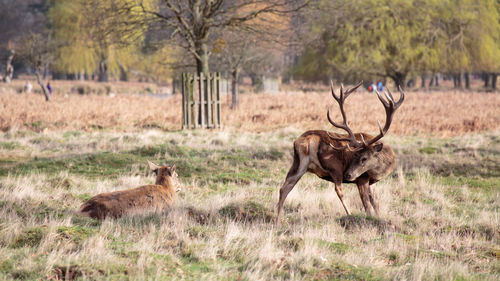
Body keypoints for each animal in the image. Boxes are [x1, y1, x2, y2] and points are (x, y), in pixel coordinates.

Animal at [276, 82, 404, 224]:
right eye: (355, 156)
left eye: (363, 158)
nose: (348, 175)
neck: (381, 170)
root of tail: (307, 141)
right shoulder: (362, 178)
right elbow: (367, 205)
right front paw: (370, 219)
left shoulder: (372, 182)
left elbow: (376, 204)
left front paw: (379, 218)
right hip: (334, 166)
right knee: (338, 190)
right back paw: (349, 214)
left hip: (298, 164)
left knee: (284, 187)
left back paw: (277, 222)